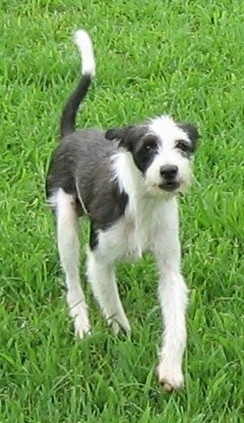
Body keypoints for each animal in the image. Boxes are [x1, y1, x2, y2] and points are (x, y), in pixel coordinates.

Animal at [45, 30, 200, 394]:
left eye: (182, 146)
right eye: (147, 147)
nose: (169, 171)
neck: (141, 203)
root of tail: (71, 135)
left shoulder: (170, 268)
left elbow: (176, 321)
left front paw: (170, 369)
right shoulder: (99, 261)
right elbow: (113, 308)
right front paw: (124, 338)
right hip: (65, 224)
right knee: (72, 280)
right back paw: (82, 324)